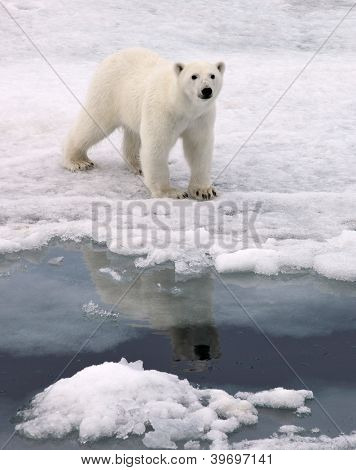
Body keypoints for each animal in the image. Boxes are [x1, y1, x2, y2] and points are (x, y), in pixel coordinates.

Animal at [63, 48, 225, 200]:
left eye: (212, 75)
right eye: (194, 76)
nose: (206, 90)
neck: (182, 106)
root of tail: (112, 57)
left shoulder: (200, 117)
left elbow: (199, 147)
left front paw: (204, 191)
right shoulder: (163, 111)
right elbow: (156, 146)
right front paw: (171, 192)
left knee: (133, 135)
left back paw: (138, 165)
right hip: (108, 93)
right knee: (93, 125)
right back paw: (78, 161)